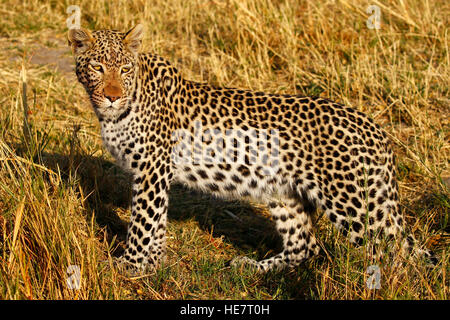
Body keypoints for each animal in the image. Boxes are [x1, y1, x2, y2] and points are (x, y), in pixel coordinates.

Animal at [67, 24, 436, 276]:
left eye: (124, 69)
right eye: (98, 67)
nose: (112, 95)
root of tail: (377, 131)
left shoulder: (152, 168)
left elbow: (143, 222)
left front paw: (128, 266)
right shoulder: (152, 173)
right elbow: (155, 223)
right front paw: (152, 265)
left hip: (355, 204)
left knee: (393, 254)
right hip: (285, 194)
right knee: (307, 246)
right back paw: (253, 266)